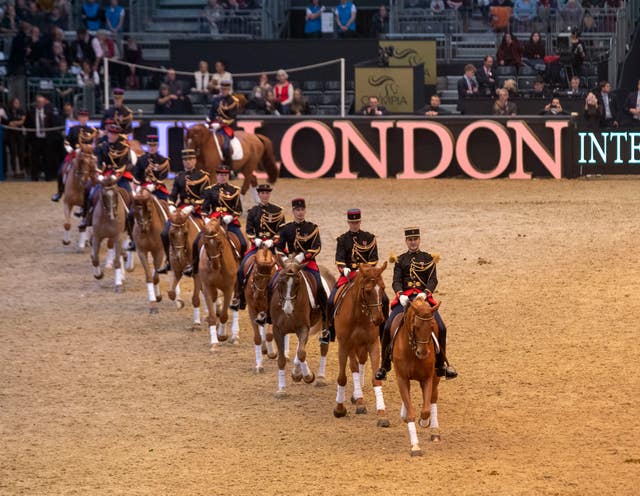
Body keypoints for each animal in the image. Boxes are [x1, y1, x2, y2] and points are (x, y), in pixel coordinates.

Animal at [199, 215, 241, 350]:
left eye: (219, 242)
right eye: (205, 244)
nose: (215, 265)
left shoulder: (228, 288)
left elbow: (224, 315)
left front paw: (222, 335)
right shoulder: (207, 287)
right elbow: (213, 316)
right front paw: (214, 342)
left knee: (234, 306)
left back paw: (234, 336)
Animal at [242, 244, 278, 372]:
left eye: (269, 279)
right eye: (255, 275)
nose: (257, 296)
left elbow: (269, 334)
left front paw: (272, 353)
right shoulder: (252, 310)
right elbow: (257, 337)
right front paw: (259, 365)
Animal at [266, 256, 336, 400]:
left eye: (297, 283)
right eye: (281, 281)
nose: (287, 309)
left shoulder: (303, 328)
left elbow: (301, 353)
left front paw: (307, 376)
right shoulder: (277, 330)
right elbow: (281, 360)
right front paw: (281, 390)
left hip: (324, 322)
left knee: (323, 347)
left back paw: (320, 378)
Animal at [332, 262, 392, 428]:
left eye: (383, 288)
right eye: (368, 290)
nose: (378, 319)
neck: (359, 315)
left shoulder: (373, 345)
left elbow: (375, 379)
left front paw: (382, 414)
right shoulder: (344, 345)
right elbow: (343, 377)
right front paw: (339, 409)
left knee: (360, 364)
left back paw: (357, 397)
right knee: (353, 366)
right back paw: (358, 399)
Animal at [392, 294, 442, 458]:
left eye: (431, 326)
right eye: (416, 327)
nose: (423, 353)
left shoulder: (427, 378)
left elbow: (425, 410)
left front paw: (424, 422)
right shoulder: (402, 378)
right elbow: (410, 412)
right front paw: (415, 446)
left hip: (436, 376)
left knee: (433, 398)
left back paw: (435, 432)